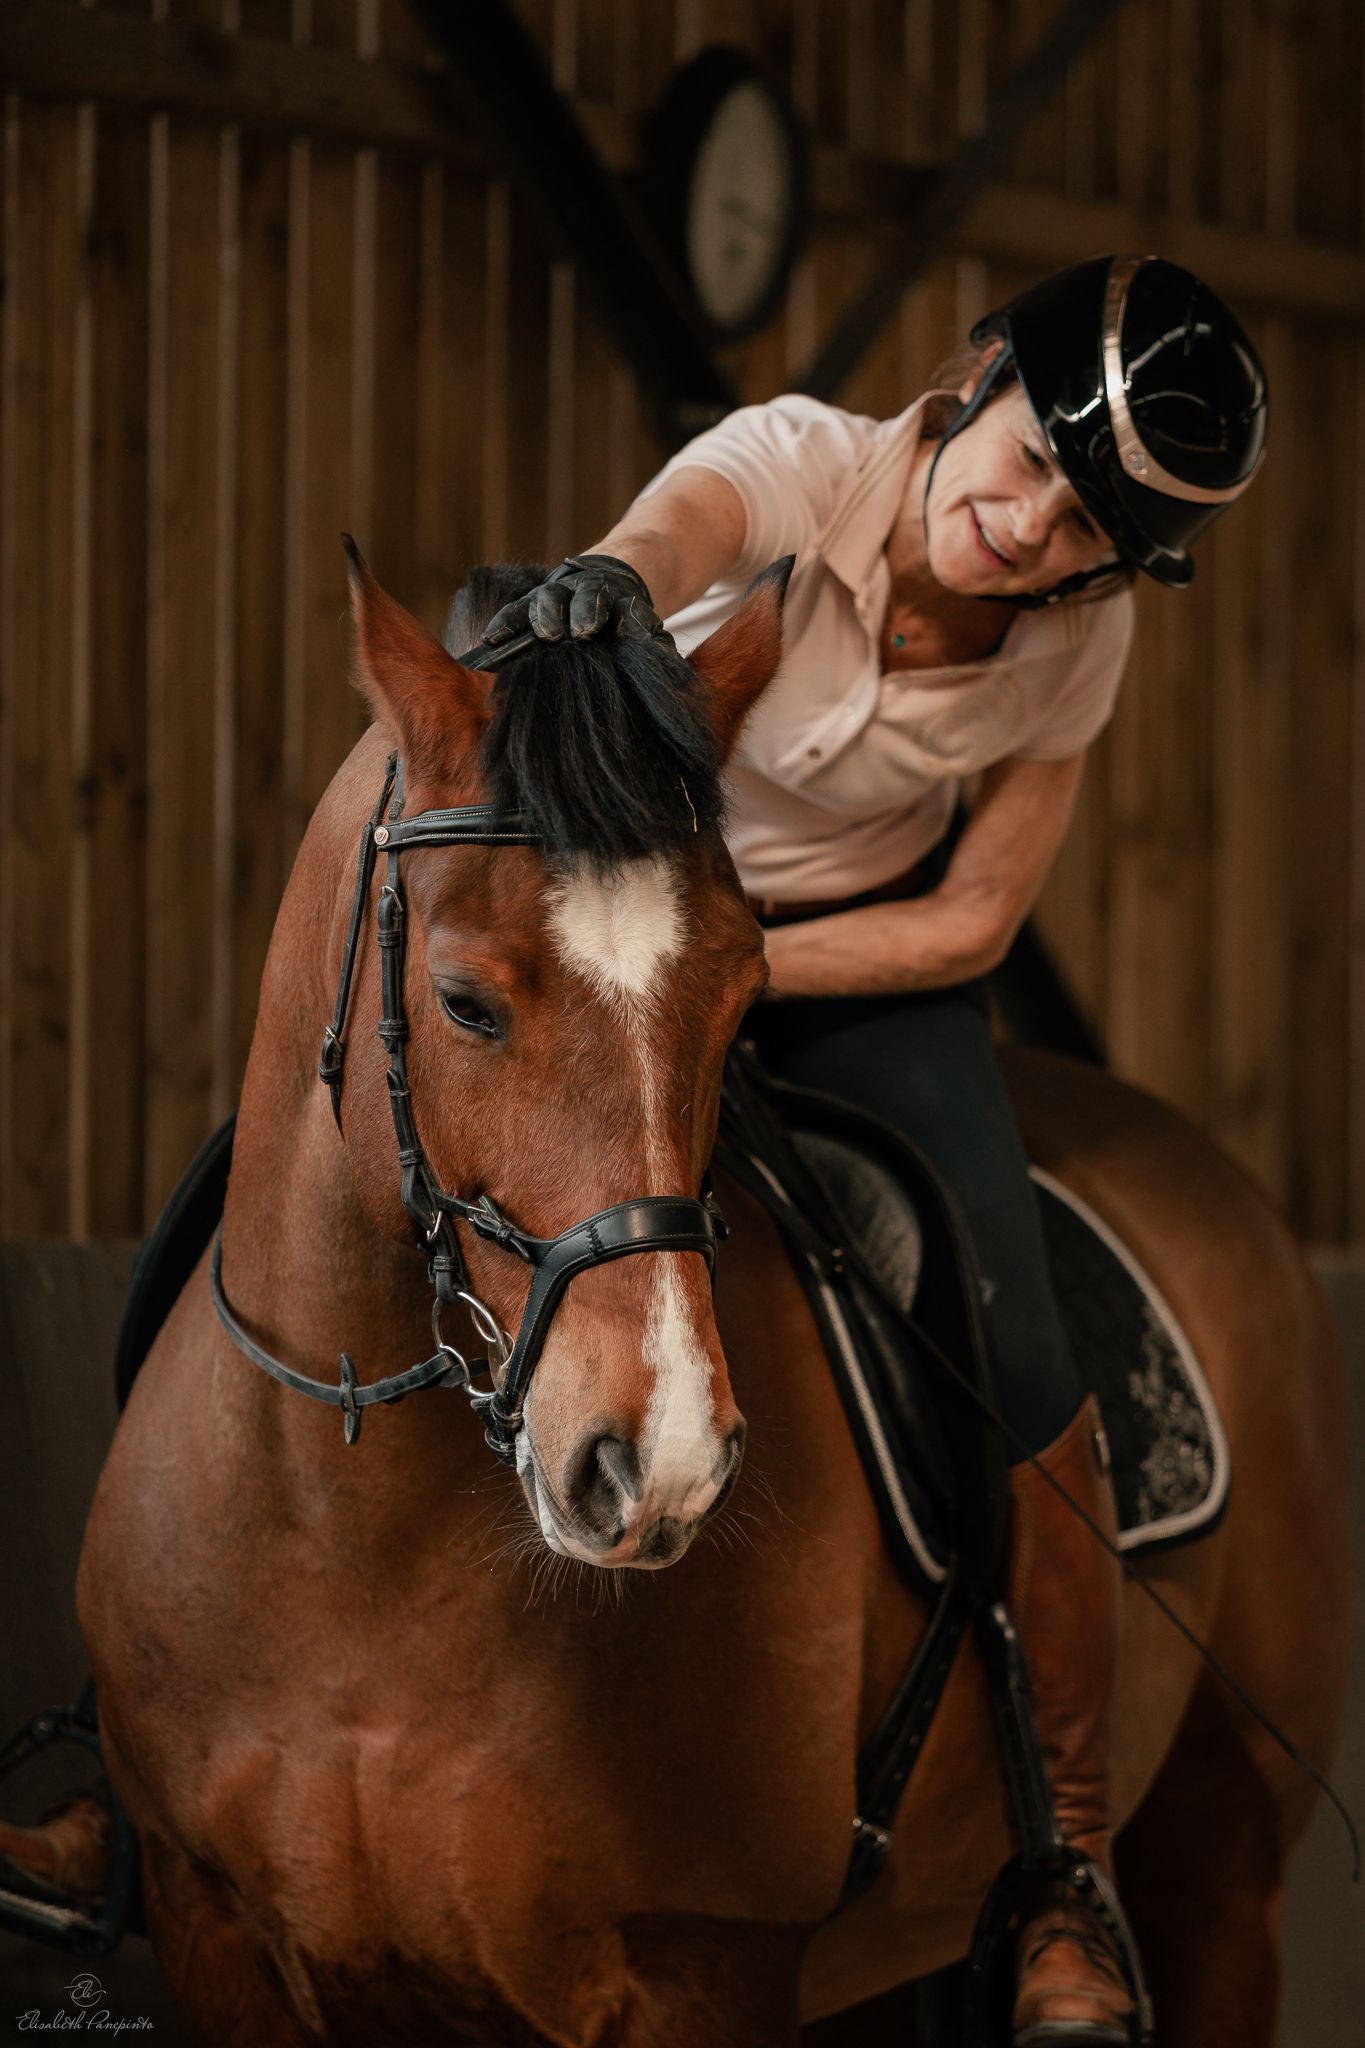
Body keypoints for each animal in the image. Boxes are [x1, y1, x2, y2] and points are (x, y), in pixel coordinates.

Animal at [73, 555, 1348, 2046]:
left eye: (745, 998)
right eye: (463, 1002)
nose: (659, 1461)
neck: (347, 1542)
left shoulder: (701, 1968)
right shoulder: (214, 1930)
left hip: (1223, 1866)